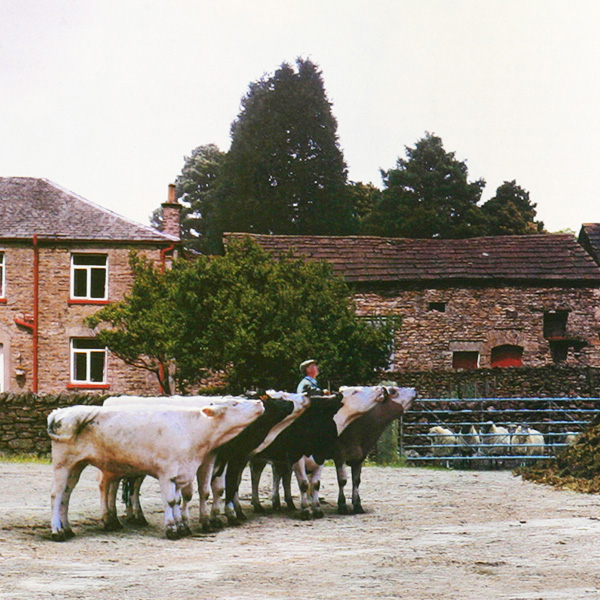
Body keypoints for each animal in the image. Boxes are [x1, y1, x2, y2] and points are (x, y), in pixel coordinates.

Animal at [47, 398, 262, 540]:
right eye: (235, 404)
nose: (260, 402)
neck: (192, 430)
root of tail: (59, 412)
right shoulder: (167, 472)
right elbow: (170, 500)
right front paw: (172, 529)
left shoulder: (182, 472)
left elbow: (178, 500)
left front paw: (181, 526)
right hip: (62, 463)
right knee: (57, 494)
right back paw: (57, 531)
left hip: (77, 466)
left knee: (67, 494)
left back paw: (68, 528)